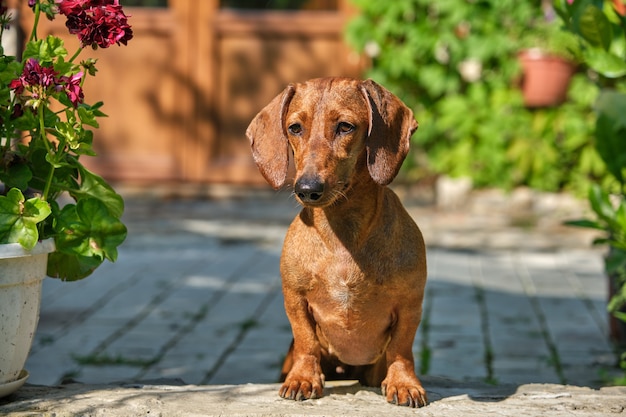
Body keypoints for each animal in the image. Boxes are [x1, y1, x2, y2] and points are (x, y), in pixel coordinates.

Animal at [246, 76, 426, 404]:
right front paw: (303, 378)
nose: (307, 189)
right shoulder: (295, 299)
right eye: (295, 128)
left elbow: (400, 348)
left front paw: (404, 382)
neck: (342, 236)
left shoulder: (410, 304)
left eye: (345, 126)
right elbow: (306, 341)